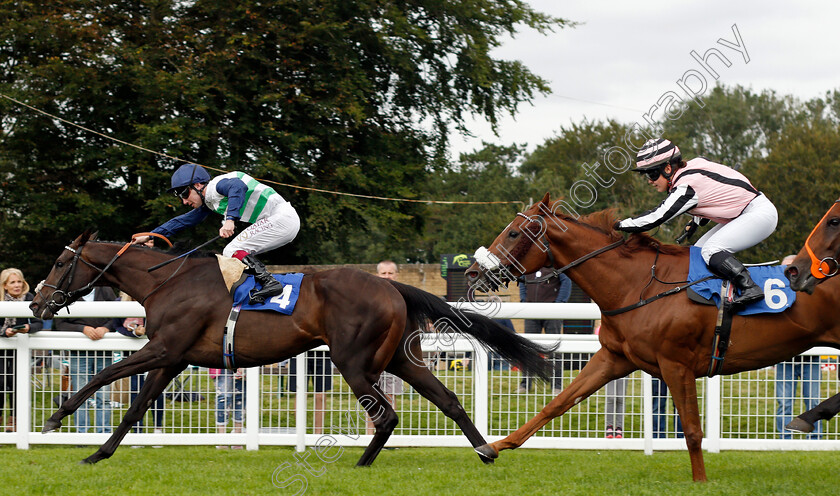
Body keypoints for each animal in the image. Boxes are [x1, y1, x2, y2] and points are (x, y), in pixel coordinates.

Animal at [29, 231, 556, 466]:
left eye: (58, 262)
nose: (36, 301)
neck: (167, 282)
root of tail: (391, 285)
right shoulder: (174, 356)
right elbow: (137, 405)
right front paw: (98, 454)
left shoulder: (163, 348)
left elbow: (103, 376)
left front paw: (55, 419)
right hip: (402, 359)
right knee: (447, 399)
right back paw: (485, 451)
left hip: (353, 361)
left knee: (386, 414)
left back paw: (362, 464)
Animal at [462, 192, 840, 478]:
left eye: (513, 233)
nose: (473, 272)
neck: (637, 283)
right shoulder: (614, 358)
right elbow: (558, 403)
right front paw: (491, 446)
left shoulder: (676, 365)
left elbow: (692, 431)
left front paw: (700, 481)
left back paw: (807, 418)